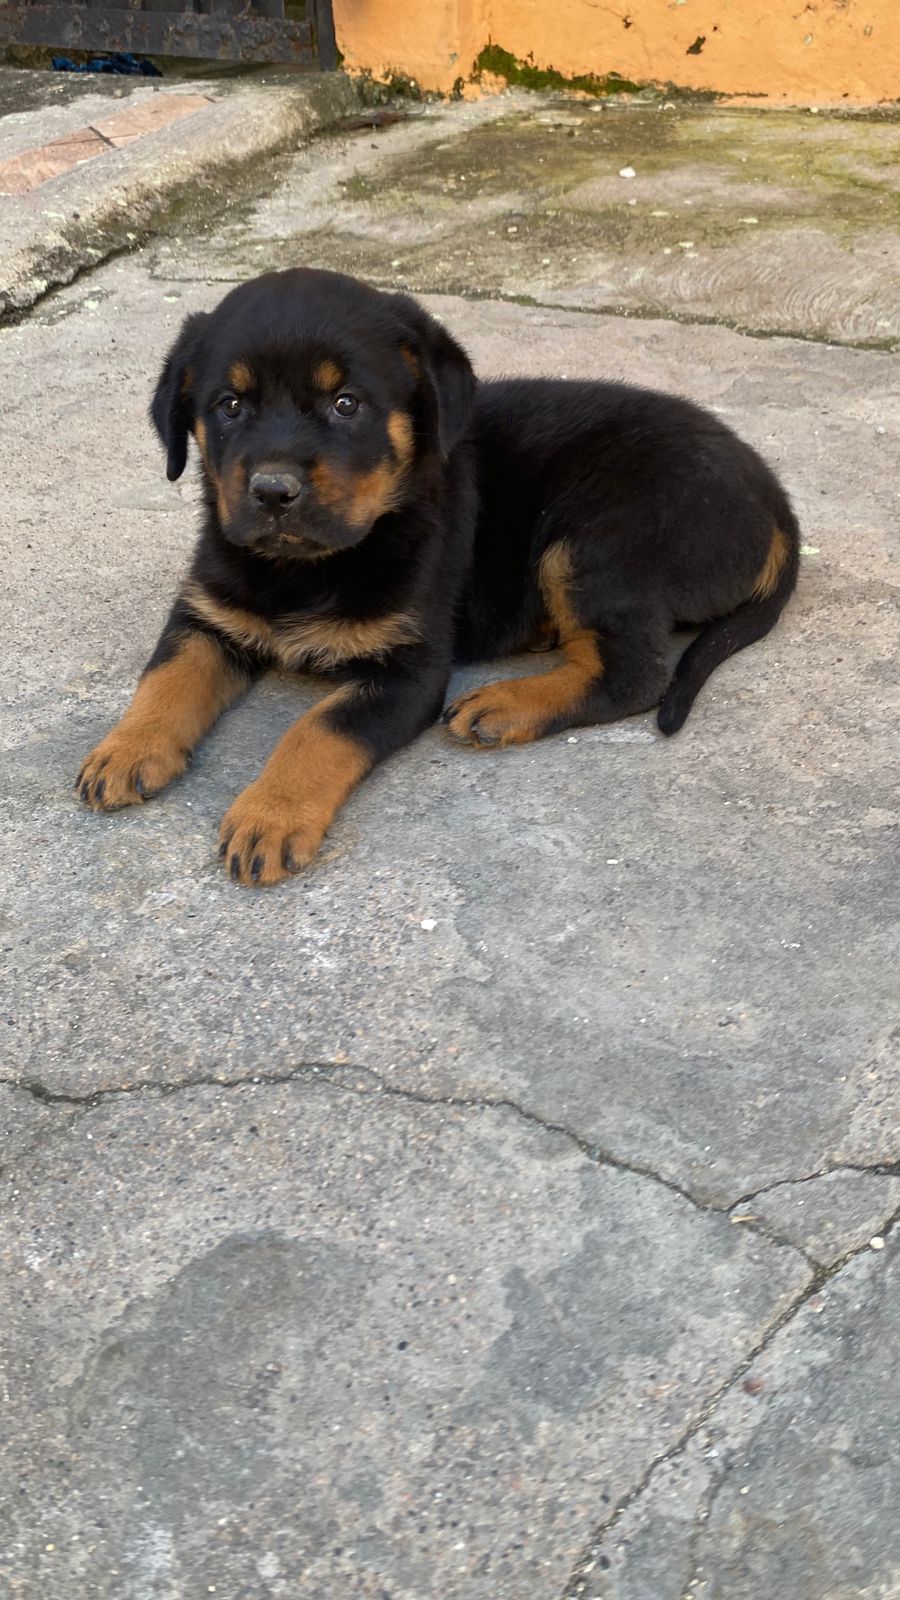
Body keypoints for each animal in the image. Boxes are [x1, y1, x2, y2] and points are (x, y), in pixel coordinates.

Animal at [75, 267, 791, 883]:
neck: (304, 567)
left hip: (596, 534)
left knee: (633, 674)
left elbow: (318, 730)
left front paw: (270, 814)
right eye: (229, 405)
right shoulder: (208, 614)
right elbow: (166, 677)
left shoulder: (409, 669)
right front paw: (126, 748)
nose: (273, 492)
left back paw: (507, 703)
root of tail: (774, 497)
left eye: (346, 404)